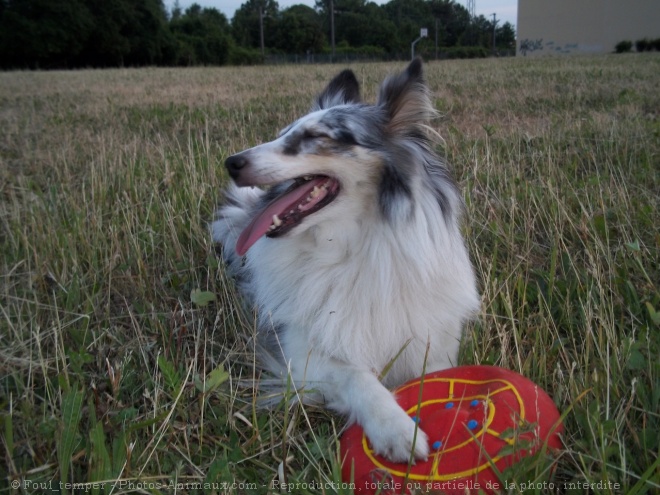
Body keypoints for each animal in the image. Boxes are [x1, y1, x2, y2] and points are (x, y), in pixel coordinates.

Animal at [214, 59, 476, 464]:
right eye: (281, 134)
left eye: (316, 135)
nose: (231, 163)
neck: (351, 246)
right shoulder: (303, 353)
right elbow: (357, 377)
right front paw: (396, 429)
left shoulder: (433, 344)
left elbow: (435, 376)